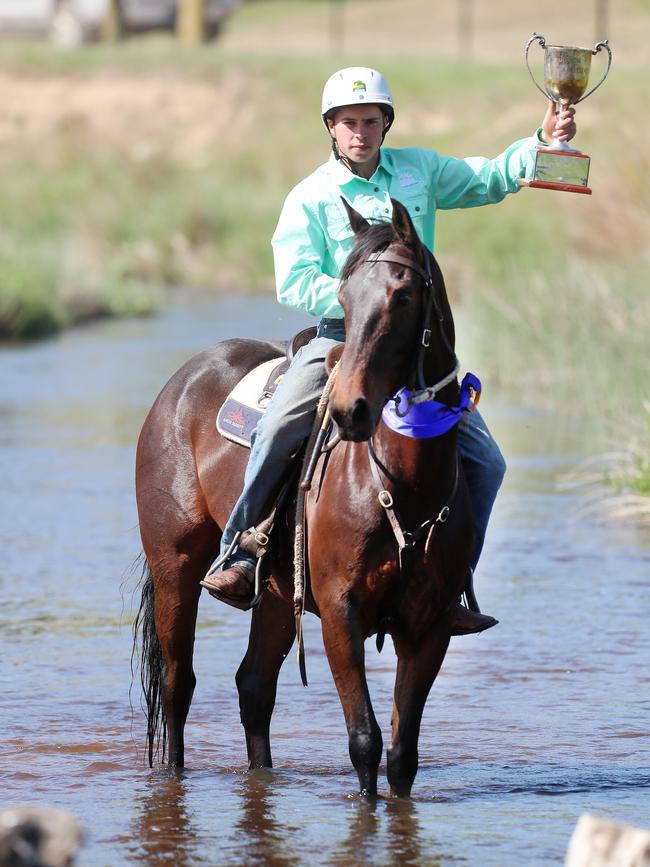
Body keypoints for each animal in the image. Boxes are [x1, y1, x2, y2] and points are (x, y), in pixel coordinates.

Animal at [134, 198, 474, 800]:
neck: (401, 488)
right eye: (344, 300)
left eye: (403, 296)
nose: (349, 410)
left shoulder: (430, 627)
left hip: (273, 592)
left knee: (253, 686)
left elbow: (403, 755)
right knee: (178, 684)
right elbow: (364, 742)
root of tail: (182, 380)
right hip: (174, 564)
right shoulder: (341, 614)